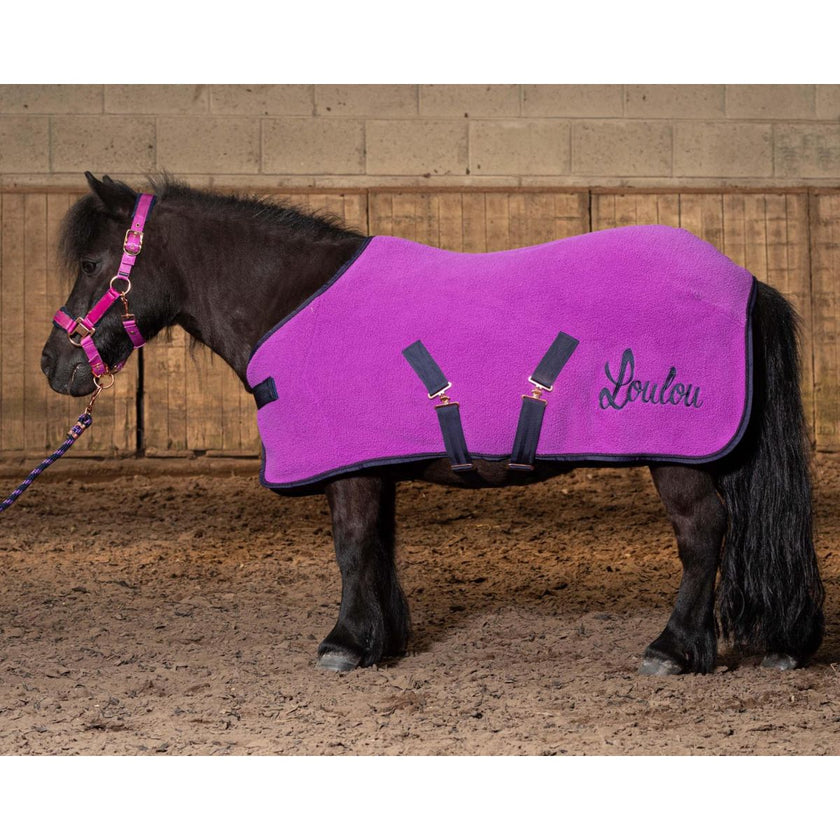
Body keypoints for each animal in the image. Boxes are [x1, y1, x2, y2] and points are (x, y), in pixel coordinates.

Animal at [39, 172, 825, 676]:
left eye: (94, 263)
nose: (55, 364)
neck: (293, 298)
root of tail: (743, 280)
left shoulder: (349, 469)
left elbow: (351, 546)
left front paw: (345, 645)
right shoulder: (370, 462)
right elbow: (378, 546)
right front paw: (382, 640)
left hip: (678, 458)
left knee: (703, 535)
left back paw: (672, 649)